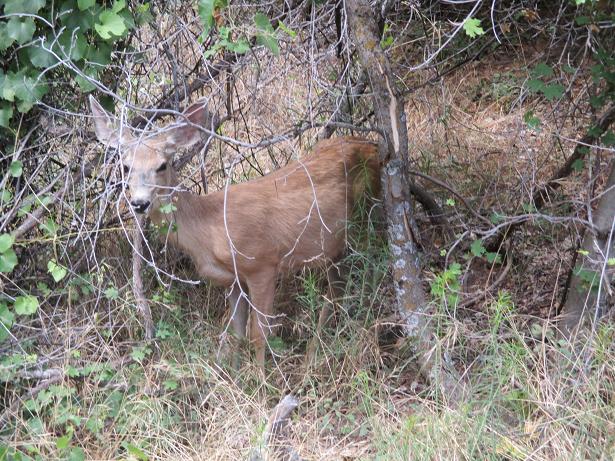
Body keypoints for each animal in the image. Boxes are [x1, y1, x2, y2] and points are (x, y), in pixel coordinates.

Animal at [89, 97, 380, 370]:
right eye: (125, 166)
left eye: (162, 165)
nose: (139, 203)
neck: (210, 228)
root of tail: (374, 146)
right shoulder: (234, 281)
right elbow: (237, 333)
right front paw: (237, 375)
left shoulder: (262, 263)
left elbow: (259, 334)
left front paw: (262, 382)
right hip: (334, 247)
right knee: (337, 290)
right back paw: (314, 355)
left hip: (366, 218)